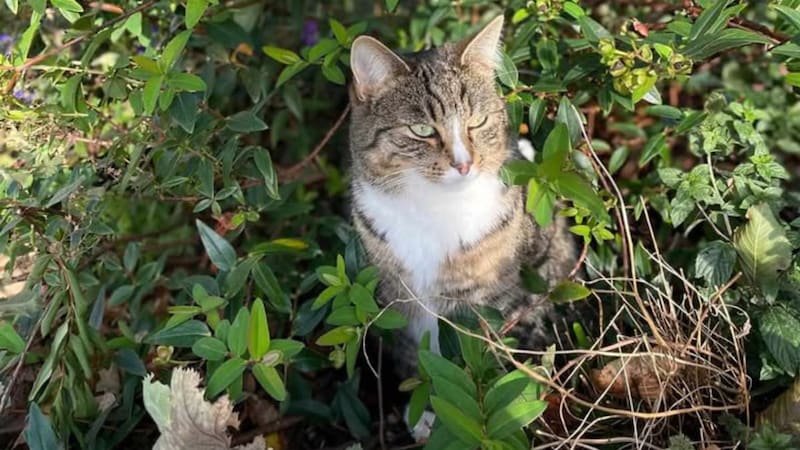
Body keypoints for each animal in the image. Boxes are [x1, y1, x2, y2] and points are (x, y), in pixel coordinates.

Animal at [346, 15, 580, 376]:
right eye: (422, 130)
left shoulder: (493, 305)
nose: (464, 163)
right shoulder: (397, 305)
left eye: (478, 121)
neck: (434, 208)